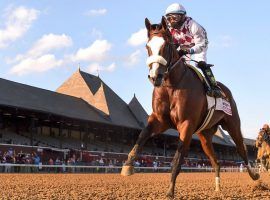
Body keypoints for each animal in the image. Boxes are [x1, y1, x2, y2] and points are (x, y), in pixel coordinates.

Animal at [121, 16, 260, 198]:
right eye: (147, 46)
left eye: (166, 45)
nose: (155, 76)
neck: (172, 85)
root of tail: (225, 90)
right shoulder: (159, 120)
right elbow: (142, 135)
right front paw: (128, 165)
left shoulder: (186, 124)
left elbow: (177, 159)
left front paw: (170, 192)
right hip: (205, 136)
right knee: (216, 162)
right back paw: (218, 188)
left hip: (233, 125)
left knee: (241, 149)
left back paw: (255, 175)